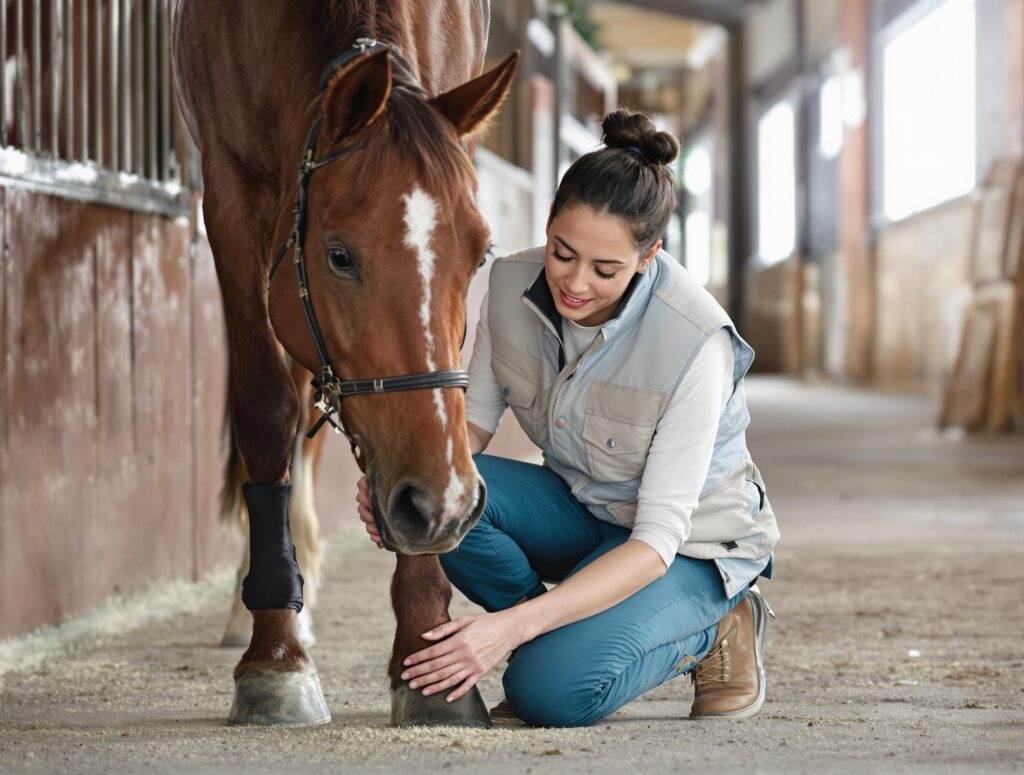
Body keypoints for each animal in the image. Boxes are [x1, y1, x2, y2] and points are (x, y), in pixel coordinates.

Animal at [172, 0, 517, 727]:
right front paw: (276, 656)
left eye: (480, 256)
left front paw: (427, 656)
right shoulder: (231, 199)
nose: (443, 505)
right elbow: (266, 411)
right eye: (338, 255)